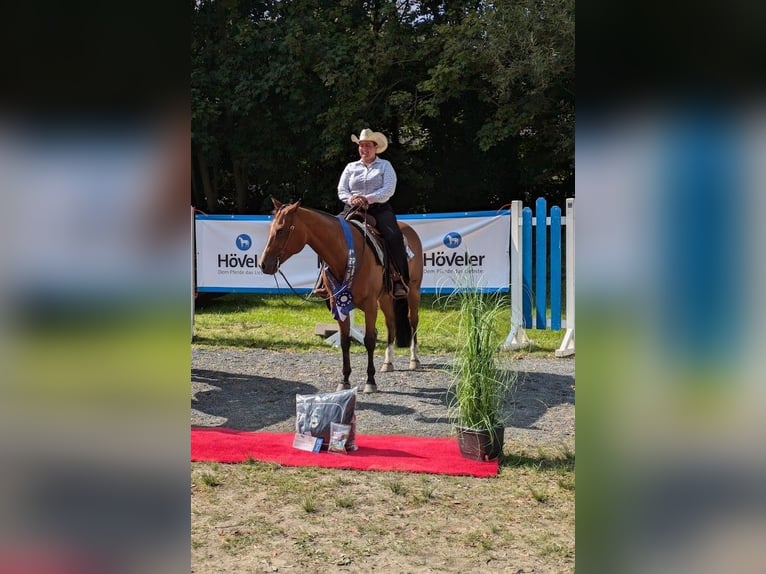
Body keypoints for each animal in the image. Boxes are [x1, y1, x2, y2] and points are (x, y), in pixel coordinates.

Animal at [260, 200, 426, 394]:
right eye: (271, 228)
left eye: (281, 230)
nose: (264, 264)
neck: (347, 254)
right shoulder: (338, 304)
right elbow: (345, 341)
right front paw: (344, 380)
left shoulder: (370, 305)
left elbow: (369, 340)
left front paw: (370, 381)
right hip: (385, 297)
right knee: (391, 324)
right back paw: (388, 362)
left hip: (413, 290)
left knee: (413, 320)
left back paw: (414, 360)